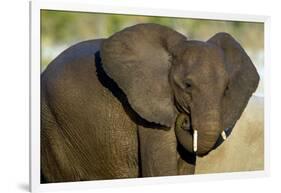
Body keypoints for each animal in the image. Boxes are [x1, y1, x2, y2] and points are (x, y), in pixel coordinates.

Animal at [41, 22, 258, 182]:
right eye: (187, 85)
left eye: (226, 89)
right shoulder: (146, 113)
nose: (185, 120)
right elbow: (159, 170)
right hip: (52, 127)